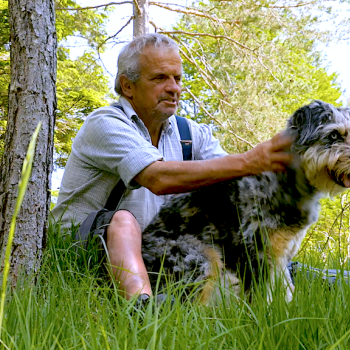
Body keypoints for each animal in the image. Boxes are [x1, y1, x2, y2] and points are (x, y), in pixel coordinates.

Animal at [140, 101, 350, 304]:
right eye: (333, 135)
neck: (287, 180)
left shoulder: (281, 255)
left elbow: (285, 289)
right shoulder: (256, 251)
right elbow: (262, 296)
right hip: (202, 257)